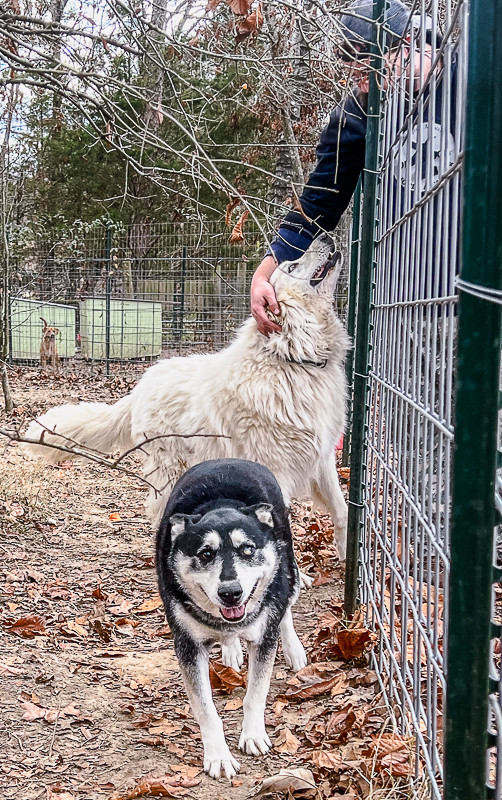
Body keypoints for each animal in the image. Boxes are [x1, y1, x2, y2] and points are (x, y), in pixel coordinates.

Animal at [25, 234, 350, 560]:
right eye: (293, 266)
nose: (325, 235)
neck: (290, 356)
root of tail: (139, 388)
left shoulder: (321, 460)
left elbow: (342, 510)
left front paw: (347, 553)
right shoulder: (276, 470)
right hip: (171, 472)